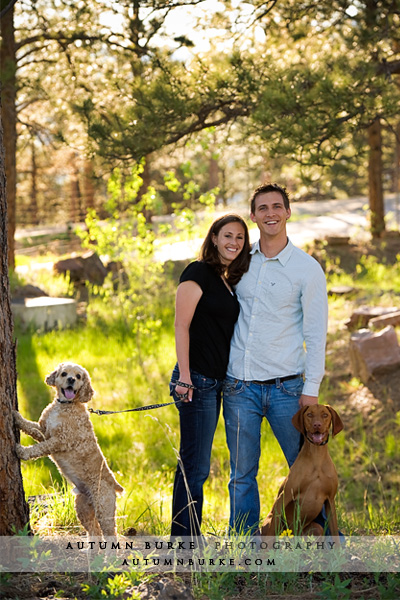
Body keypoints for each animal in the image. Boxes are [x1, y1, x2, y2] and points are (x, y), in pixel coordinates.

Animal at [13, 360, 123, 540]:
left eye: (78, 376)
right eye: (64, 373)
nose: (71, 379)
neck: (65, 405)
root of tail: (115, 484)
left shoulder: (60, 440)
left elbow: (38, 448)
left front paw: (21, 451)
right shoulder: (45, 432)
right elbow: (30, 427)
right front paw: (16, 417)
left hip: (104, 509)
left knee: (110, 535)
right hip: (83, 507)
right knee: (94, 533)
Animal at [260, 406, 342, 536]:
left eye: (325, 415)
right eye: (309, 414)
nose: (317, 424)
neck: (316, 458)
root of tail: (295, 533)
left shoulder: (330, 500)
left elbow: (335, 534)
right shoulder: (284, 497)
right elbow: (270, 534)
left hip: (317, 528)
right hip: (275, 521)